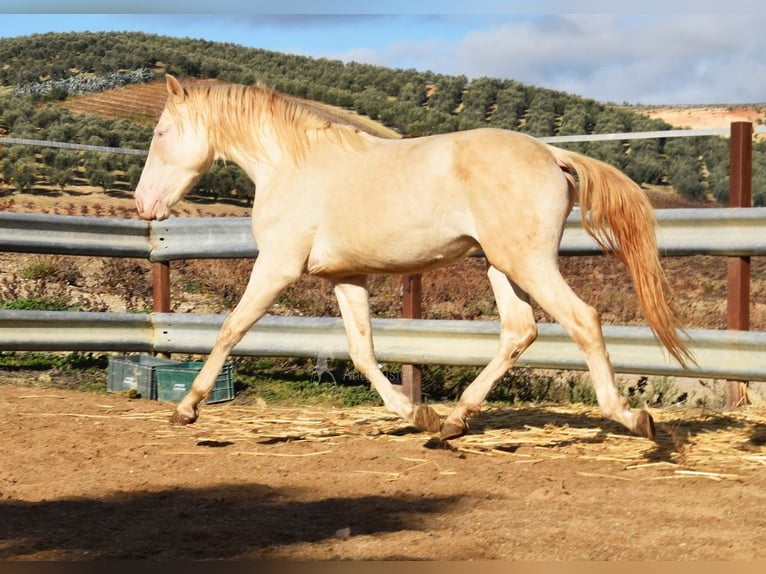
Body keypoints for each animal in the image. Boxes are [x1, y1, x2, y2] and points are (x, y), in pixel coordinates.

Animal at [135, 74, 692, 444]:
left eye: (160, 134)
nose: (144, 204)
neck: (290, 165)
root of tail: (552, 155)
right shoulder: (347, 276)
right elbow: (362, 352)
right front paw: (415, 413)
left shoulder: (276, 266)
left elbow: (231, 329)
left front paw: (186, 409)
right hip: (503, 265)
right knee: (520, 330)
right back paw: (451, 422)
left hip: (528, 264)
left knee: (583, 321)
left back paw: (632, 418)